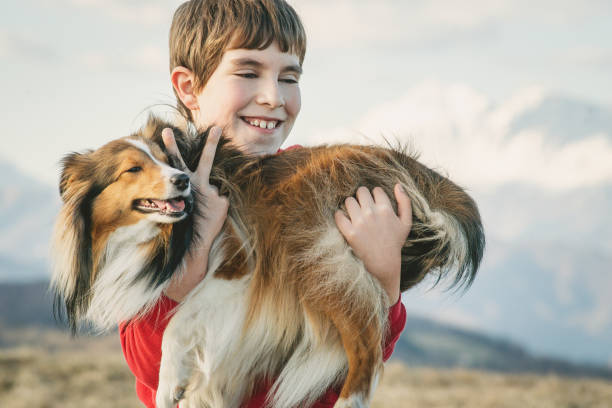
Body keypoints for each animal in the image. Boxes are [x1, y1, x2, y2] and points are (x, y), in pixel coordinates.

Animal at [51, 115, 482, 408]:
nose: (183, 181)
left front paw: (170, 383)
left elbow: (177, 324)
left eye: (167, 159)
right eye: (132, 169)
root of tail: (407, 165)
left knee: (367, 348)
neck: (161, 239)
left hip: (316, 259)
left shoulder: (239, 269)